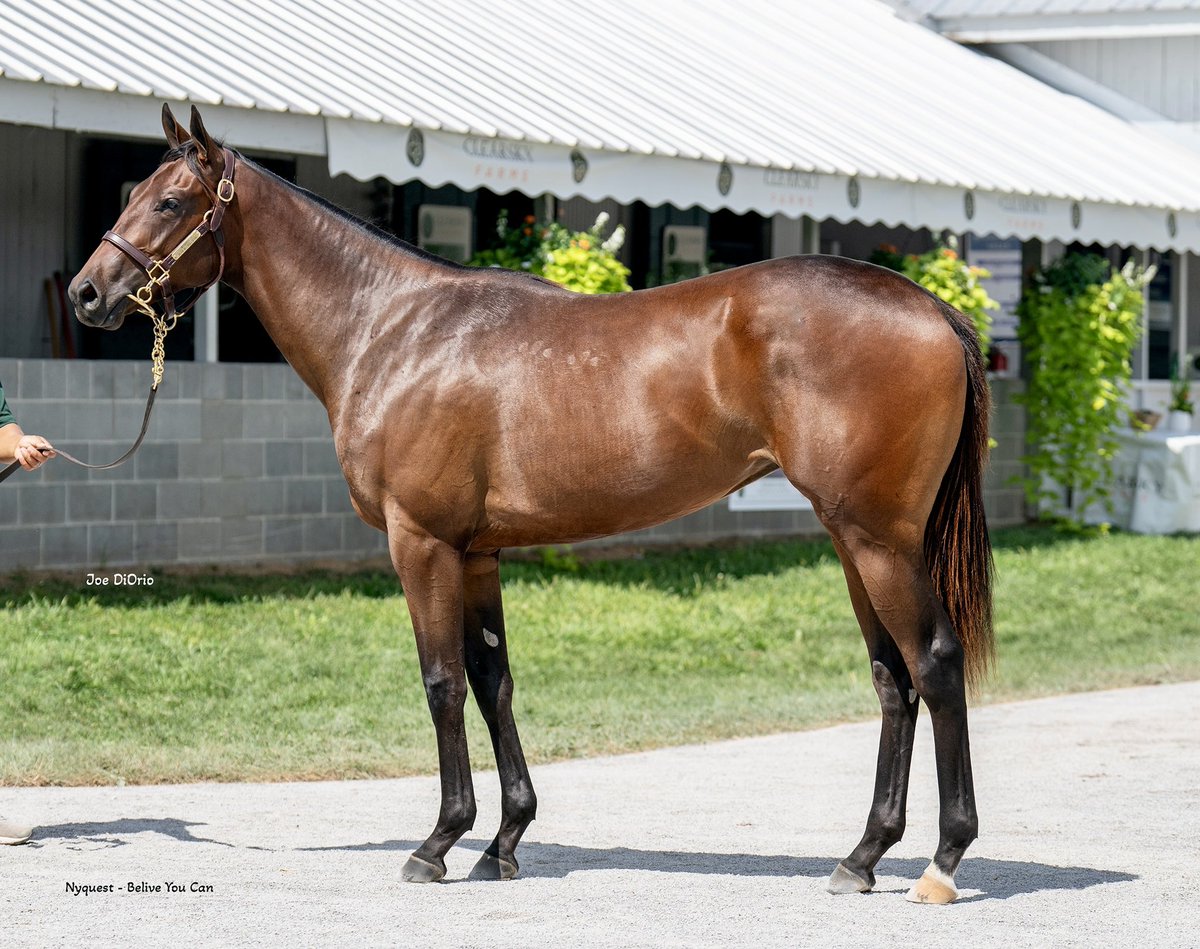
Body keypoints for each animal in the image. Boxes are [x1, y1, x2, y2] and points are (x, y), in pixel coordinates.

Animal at [72, 105, 993, 907]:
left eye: (170, 201)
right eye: (130, 191)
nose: (87, 294)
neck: (395, 328)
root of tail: (932, 308)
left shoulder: (422, 542)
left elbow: (442, 682)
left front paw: (438, 842)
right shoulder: (477, 551)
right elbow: (493, 681)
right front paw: (503, 841)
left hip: (878, 540)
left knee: (934, 661)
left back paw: (942, 860)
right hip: (851, 539)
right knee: (892, 679)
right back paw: (861, 856)